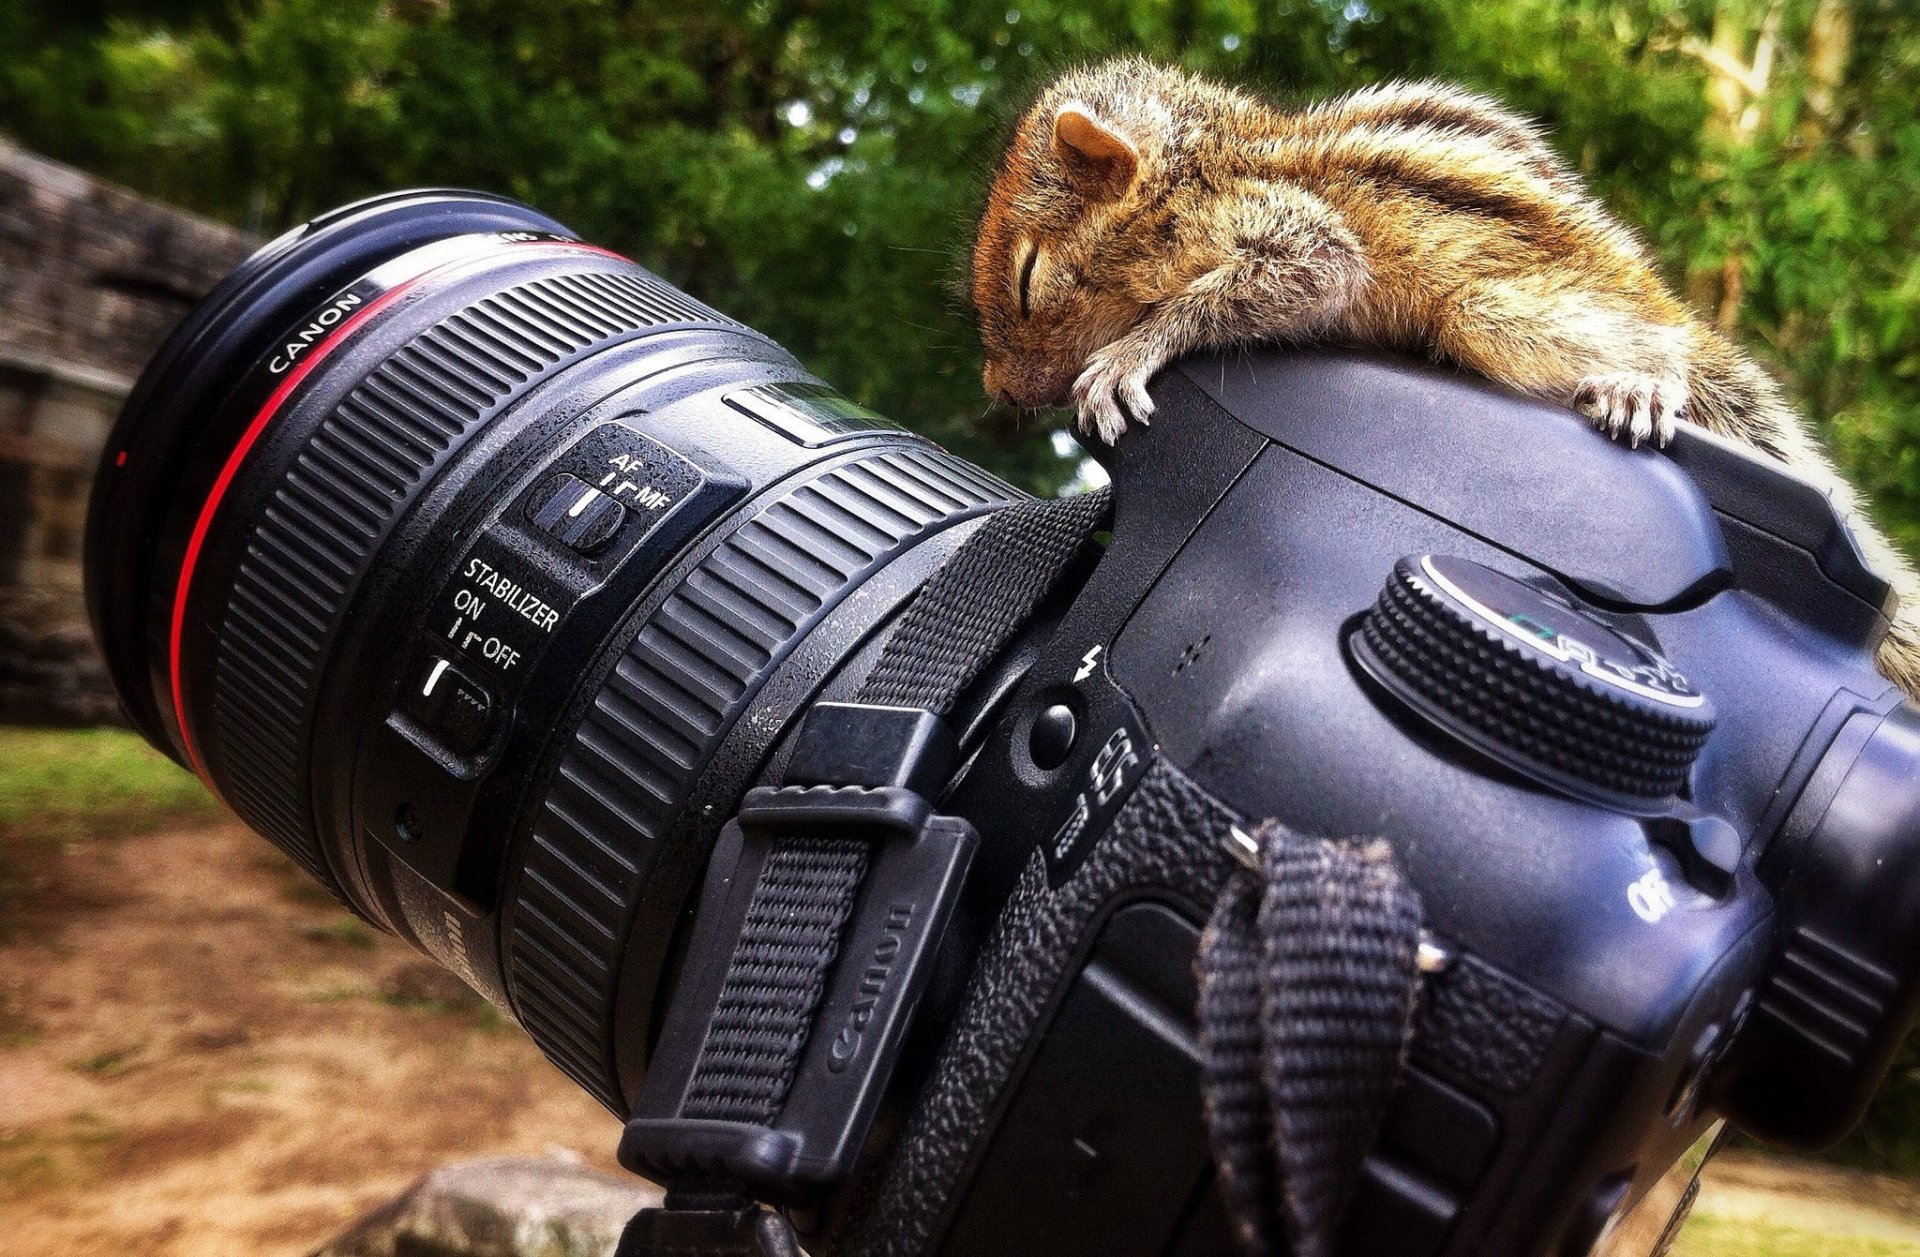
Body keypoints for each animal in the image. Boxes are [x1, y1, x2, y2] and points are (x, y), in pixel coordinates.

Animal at [972, 57, 1920, 697]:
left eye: (1026, 279)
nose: (999, 391)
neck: (1201, 170)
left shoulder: (1289, 234)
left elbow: (1297, 277)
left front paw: (1129, 353)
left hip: (1489, 311)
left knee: (1664, 352)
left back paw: (1642, 382)